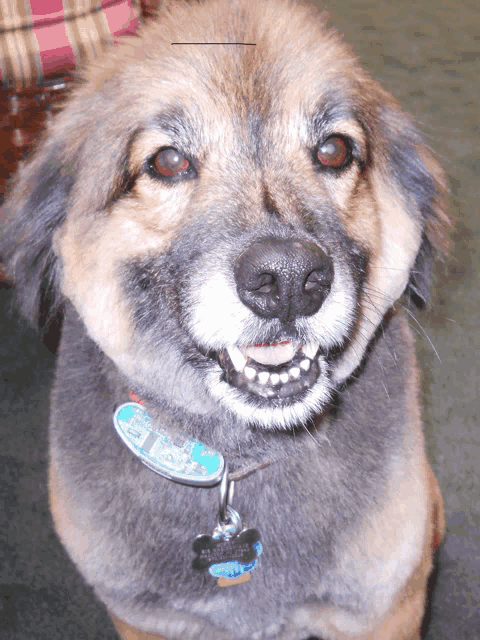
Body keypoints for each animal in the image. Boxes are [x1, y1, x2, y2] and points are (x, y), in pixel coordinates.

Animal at [1, 0, 448, 636]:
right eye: (168, 161)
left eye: (334, 150)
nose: (289, 281)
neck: (238, 463)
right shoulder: (144, 618)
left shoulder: (384, 609)